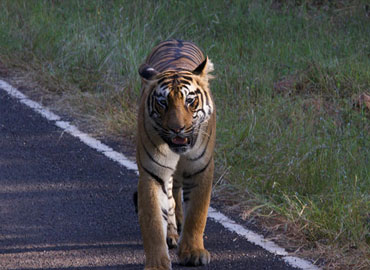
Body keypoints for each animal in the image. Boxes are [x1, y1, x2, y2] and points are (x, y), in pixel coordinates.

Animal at [137, 40, 217, 270]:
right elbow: (153, 221)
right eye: (163, 102)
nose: (177, 128)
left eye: (190, 101)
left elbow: (197, 214)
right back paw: (172, 233)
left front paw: (193, 252)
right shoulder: (152, 173)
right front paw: (157, 263)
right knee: (171, 199)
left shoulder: (201, 170)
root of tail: (177, 40)